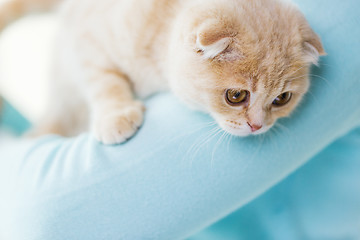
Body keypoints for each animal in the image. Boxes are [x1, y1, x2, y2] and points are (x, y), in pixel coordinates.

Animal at [0, 0, 326, 143]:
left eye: (281, 99)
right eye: (236, 96)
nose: (258, 125)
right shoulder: (86, 39)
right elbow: (104, 80)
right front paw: (116, 116)